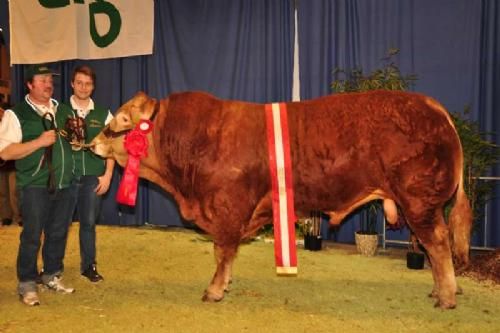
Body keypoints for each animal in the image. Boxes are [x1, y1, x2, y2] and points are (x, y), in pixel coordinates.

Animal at [92, 89, 470, 308]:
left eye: (122, 118)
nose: (93, 143)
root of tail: (434, 107)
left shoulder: (228, 207)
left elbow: (223, 251)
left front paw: (214, 290)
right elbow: (224, 252)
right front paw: (225, 285)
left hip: (419, 201)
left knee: (437, 244)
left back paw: (446, 297)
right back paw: (438, 292)